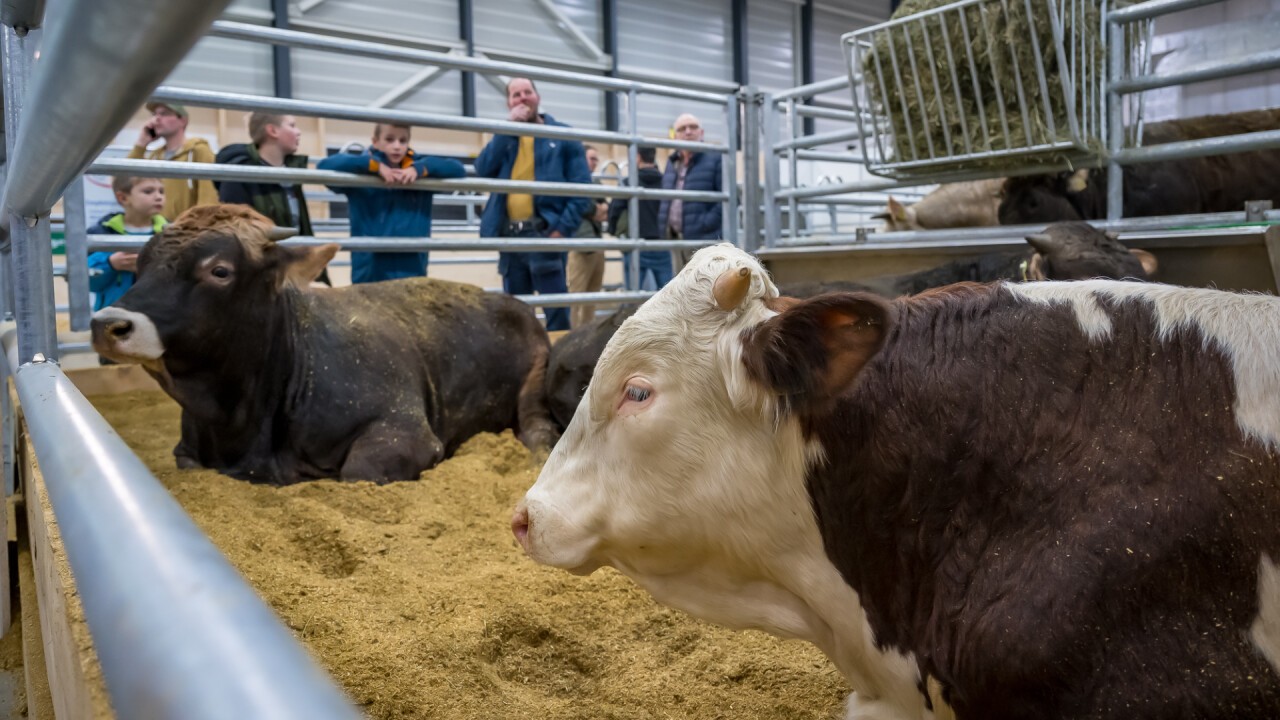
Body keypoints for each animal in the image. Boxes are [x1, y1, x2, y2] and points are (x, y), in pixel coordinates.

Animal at [90, 204, 550, 484]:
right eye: (140, 264)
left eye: (219, 270)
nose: (107, 324)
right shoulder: (187, 449)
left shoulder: (406, 431)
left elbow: (359, 470)